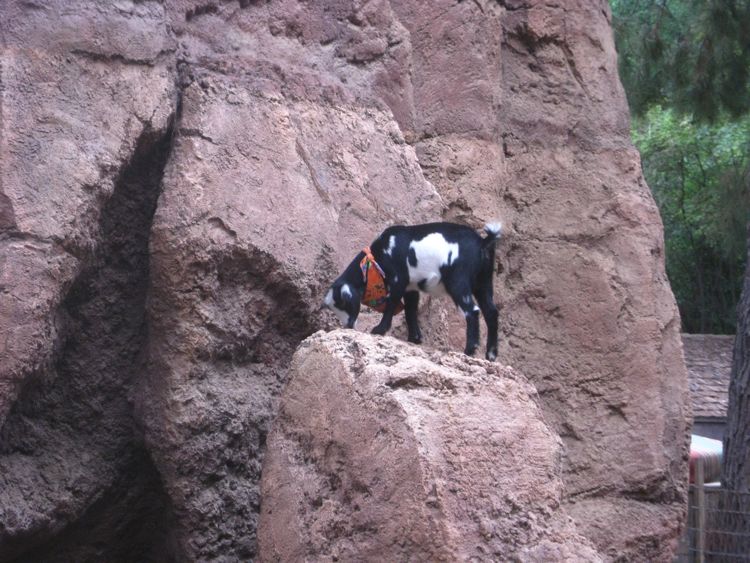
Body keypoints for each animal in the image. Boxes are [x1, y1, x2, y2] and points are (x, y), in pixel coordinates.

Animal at [326, 221, 502, 362]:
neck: (377, 256)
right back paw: (490, 355)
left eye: (343, 304)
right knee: (491, 312)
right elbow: (410, 311)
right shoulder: (411, 288)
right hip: (484, 283)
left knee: (472, 311)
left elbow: (391, 305)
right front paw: (414, 338)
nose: (348, 326)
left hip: (458, 282)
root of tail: (483, 242)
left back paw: (469, 350)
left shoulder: (398, 280)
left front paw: (379, 330)